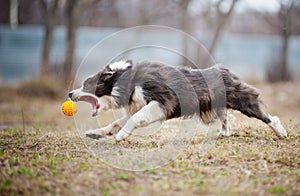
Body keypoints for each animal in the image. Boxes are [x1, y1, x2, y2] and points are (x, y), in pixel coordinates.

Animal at [69, 59, 288, 141]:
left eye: (87, 84)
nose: (70, 94)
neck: (125, 81)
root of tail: (226, 71)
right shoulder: (139, 106)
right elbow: (117, 122)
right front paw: (96, 133)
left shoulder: (162, 102)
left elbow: (134, 118)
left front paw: (121, 135)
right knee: (225, 116)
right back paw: (224, 133)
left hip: (242, 99)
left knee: (266, 115)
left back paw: (281, 131)